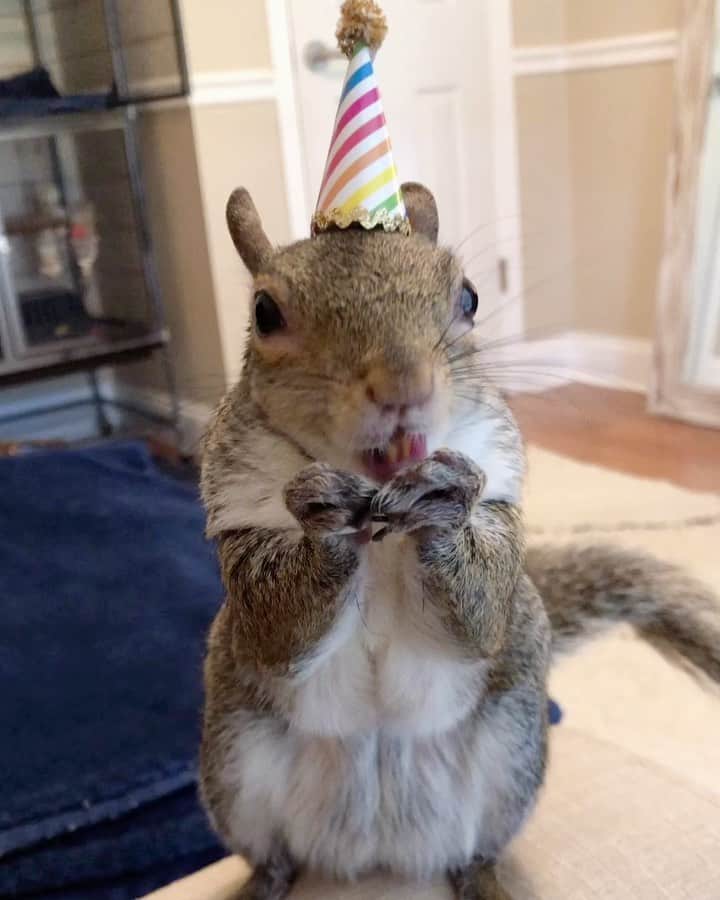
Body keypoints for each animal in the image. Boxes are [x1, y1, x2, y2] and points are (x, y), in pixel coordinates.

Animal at [199, 183, 720, 900]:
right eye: (264, 312)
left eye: (469, 297)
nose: (403, 388)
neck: (382, 526)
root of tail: (378, 853)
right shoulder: (237, 519)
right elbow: (278, 628)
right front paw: (322, 515)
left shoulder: (500, 502)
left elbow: (481, 613)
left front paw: (445, 504)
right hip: (234, 768)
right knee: (272, 853)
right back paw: (264, 882)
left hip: (512, 760)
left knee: (474, 852)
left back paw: (485, 879)